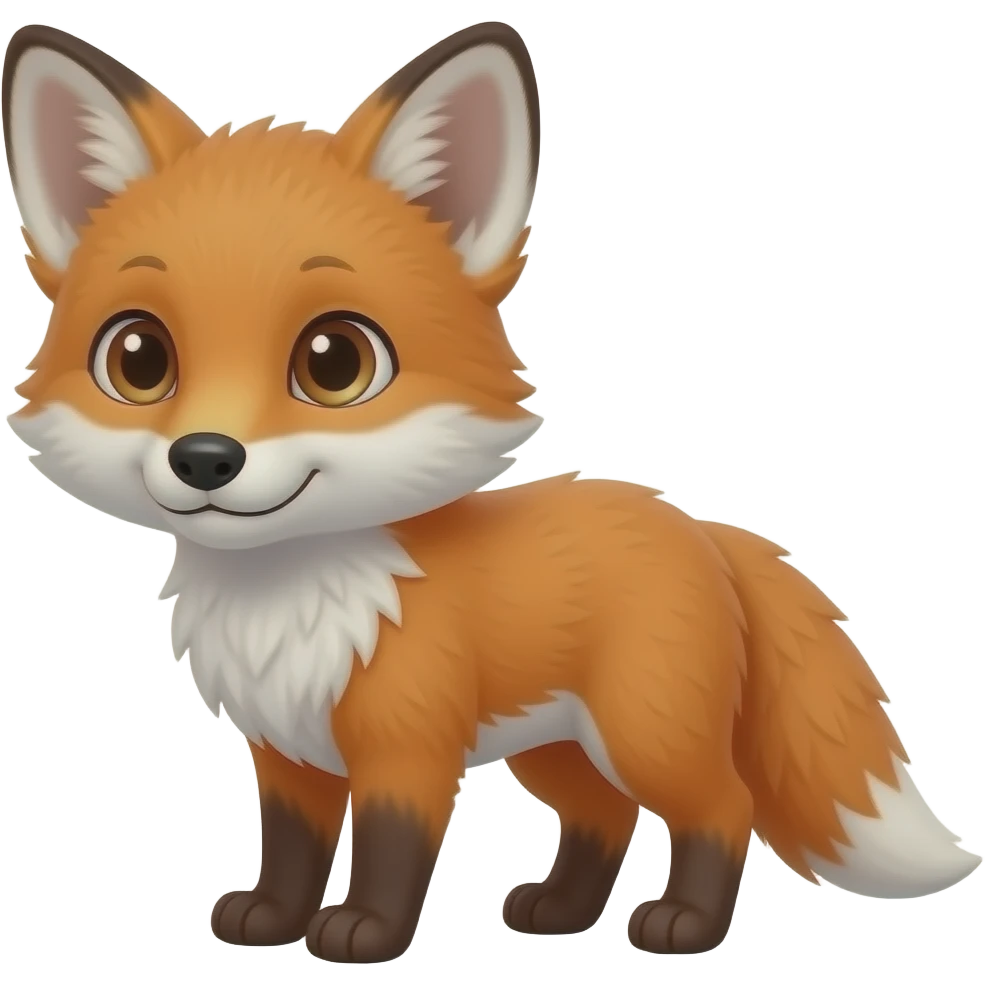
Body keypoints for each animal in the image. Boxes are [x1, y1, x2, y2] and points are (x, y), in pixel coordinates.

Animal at [2, 19, 981, 965]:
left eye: (334, 362)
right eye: (138, 359)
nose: (205, 457)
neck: (292, 607)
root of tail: (699, 526)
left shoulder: (408, 746)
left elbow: (390, 850)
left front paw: (365, 934)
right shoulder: (287, 754)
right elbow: (289, 849)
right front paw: (272, 917)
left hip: (645, 732)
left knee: (721, 805)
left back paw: (684, 926)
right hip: (557, 747)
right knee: (602, 814)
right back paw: (559, 911)